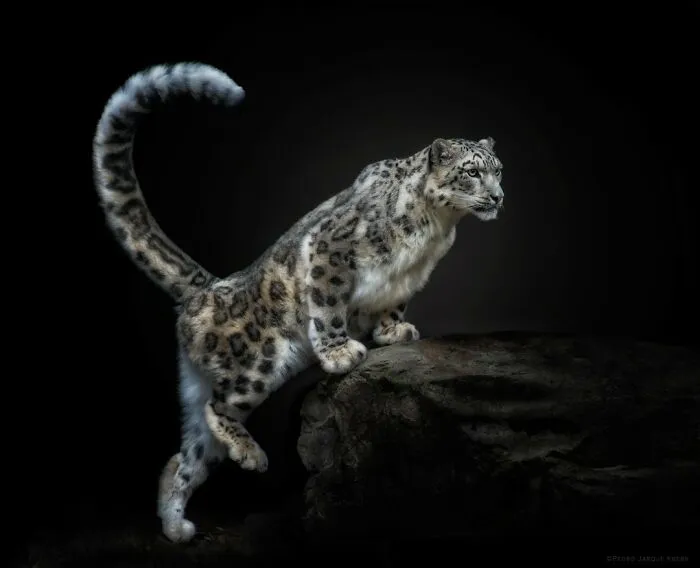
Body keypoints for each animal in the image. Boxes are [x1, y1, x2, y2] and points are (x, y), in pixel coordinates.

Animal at [92, 62, 505, 543]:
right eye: (472, 172)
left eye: (499, 170)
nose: (498, 196)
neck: (437, 230)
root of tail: (208, 289)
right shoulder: (330, 249)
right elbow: (328, 306)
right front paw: (341, 352)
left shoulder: (409, 280)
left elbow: (394, 303)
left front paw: (393, 330)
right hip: (257, 366)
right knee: (218, 408)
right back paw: (251, 456)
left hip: (196, 398)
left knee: (184, 456)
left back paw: (177, 527)